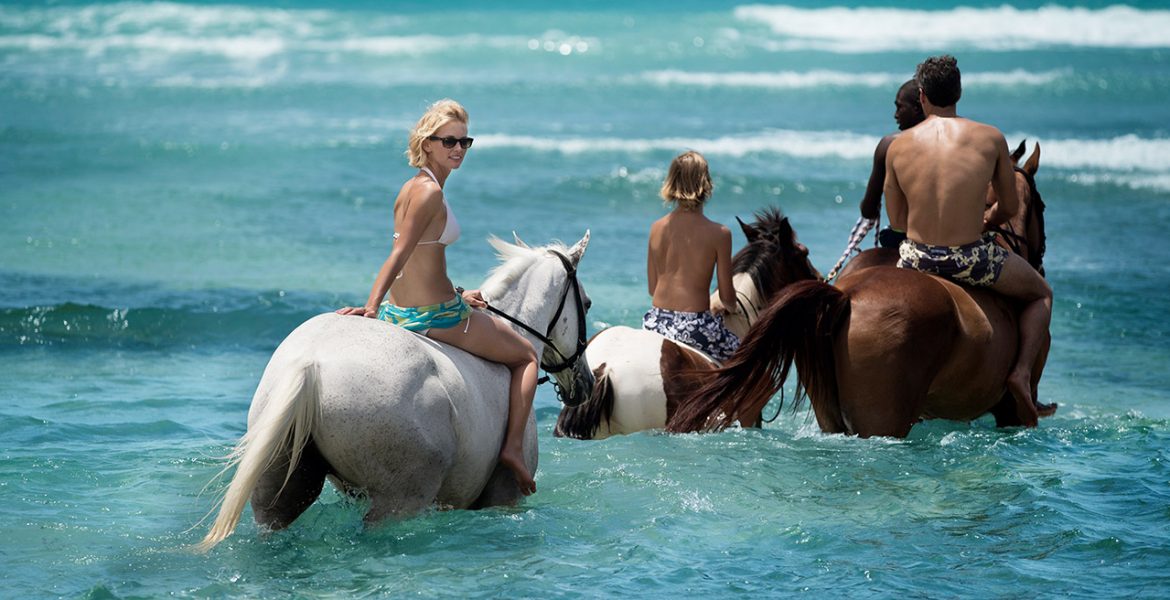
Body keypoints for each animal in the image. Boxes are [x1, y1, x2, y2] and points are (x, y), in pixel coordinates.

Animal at [197, 231, 594, 549]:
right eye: (587, 304)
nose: (585, 383)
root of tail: (310, 365)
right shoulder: (505, 495)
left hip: (279, 489)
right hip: (400, 500)